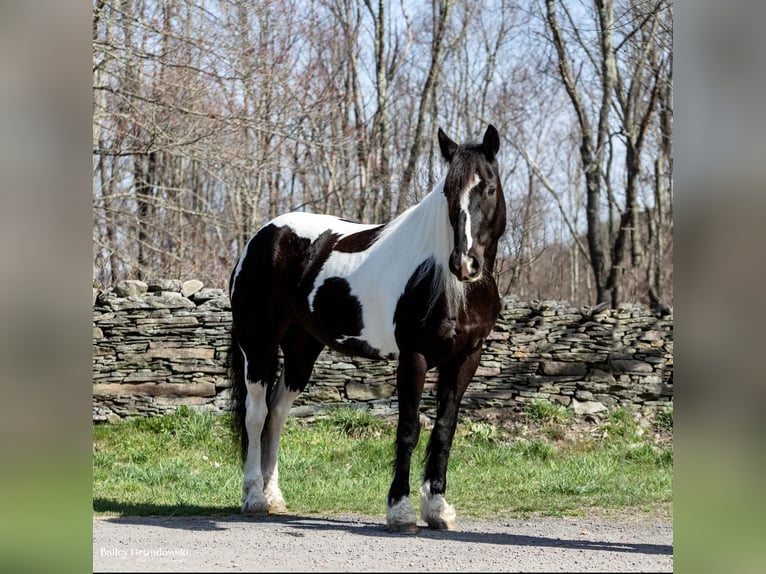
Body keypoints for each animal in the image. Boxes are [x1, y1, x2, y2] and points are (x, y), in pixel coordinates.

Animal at [228, 124, 510, 532]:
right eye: (448, 191)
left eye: (488, 188)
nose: (465, 263)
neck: (446, 283)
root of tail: (261, 237)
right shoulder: (414, 357)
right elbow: (408, 428)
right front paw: (401, 510)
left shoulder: (465, 359)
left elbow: (444, 429)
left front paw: (437, 508)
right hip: (258, 345)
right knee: (256, 415)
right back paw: (253, 498)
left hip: (302, 350)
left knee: (277, 414)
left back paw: (274, 495)